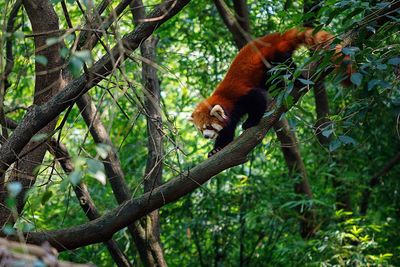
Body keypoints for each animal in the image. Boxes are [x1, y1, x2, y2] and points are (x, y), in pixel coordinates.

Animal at [191, 27, 350, 157]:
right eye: (200, 130)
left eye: (208, 127)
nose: (206, 136)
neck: (224, 98)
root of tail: (277, 36)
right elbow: (227, 133)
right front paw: (216, 150)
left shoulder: (240, 96)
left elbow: (258, 101)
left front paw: (250, 122)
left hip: (275, 56)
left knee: (286, 66)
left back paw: (297, 79)